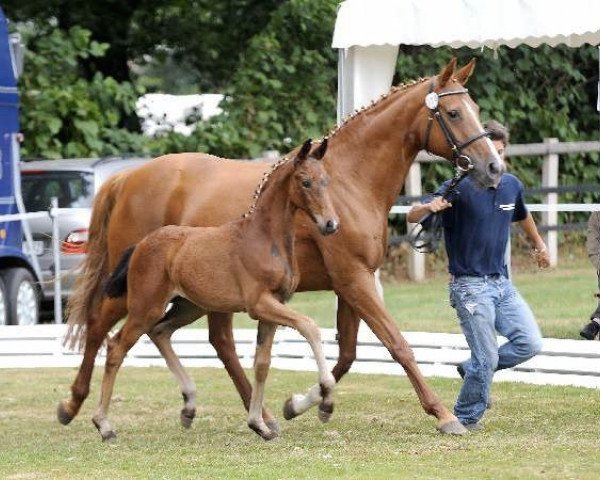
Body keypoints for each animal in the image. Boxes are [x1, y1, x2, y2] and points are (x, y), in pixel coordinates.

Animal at [94, 140, 338, 442]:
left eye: (326, 181)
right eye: (305, 182)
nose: (331, 224)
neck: (264, 239)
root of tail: (140, 244)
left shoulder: (273, 306)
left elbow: (262, 364)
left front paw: (259, 425)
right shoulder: (259, 304)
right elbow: (309, 326)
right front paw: (326, 400)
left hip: (189, 306)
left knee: (160, 332)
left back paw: (189, 405)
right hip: (145, 307)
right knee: (117, 347)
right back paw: (104, 426)